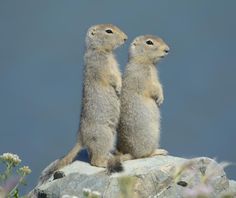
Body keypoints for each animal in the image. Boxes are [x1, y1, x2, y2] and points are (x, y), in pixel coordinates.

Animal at [39, 24, 127, 182]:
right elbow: (112, 76)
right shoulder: (101, 64)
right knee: (94, 161)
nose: (125, 38)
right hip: (104, 136)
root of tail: (81, 138)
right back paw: (106, 161)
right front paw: (119, 87)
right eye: (108, 31)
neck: (99, 50)